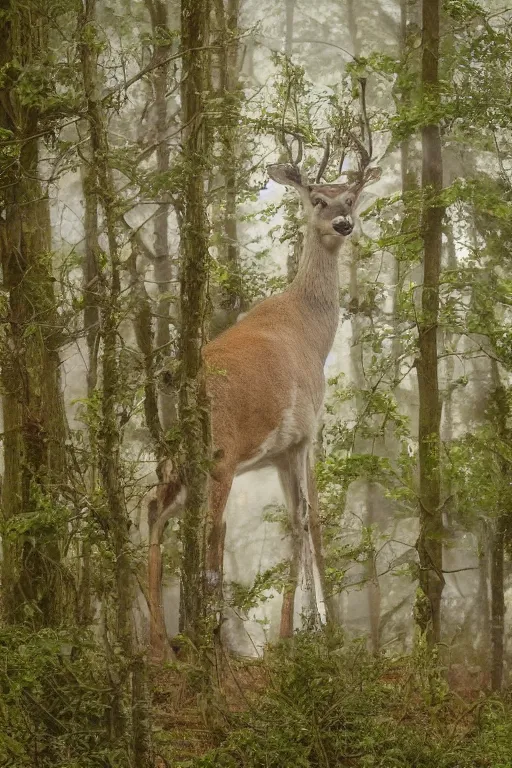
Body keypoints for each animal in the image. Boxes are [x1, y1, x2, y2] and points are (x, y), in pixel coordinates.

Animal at [160, 136, 380, 636]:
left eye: (351, 197)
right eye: (317, 199)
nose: (343, 223)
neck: (311, 330)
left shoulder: (278, 453)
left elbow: (297, 522)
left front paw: (307, 625)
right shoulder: (304, 433)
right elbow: (305, 520)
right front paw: (302, 631)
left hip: (172, 455)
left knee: (153, 512)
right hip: (218, 454)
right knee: (207, 530)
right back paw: (205, 631)